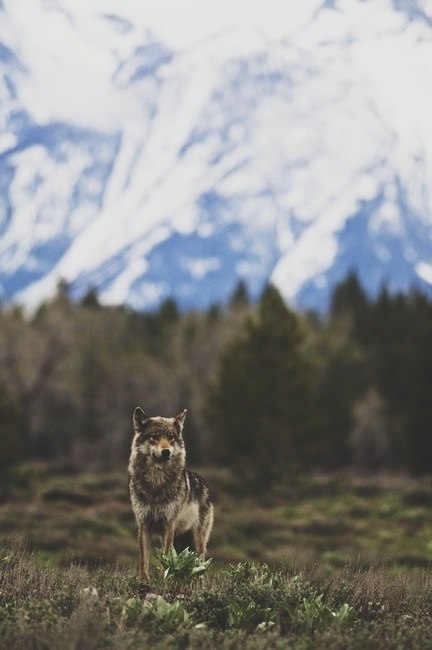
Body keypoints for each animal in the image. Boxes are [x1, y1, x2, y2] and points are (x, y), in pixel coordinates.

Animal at [128, 407, 214, 580]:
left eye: (171, 437)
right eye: (154, 436)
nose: (166, 452)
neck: (156, 484)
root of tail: (204, 484)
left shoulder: (168, 525)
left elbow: (165, 557)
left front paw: (164, 579)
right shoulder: (144, 525)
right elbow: (144, 560)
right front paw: (143, 581)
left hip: (197, 541)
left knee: (200, 564)